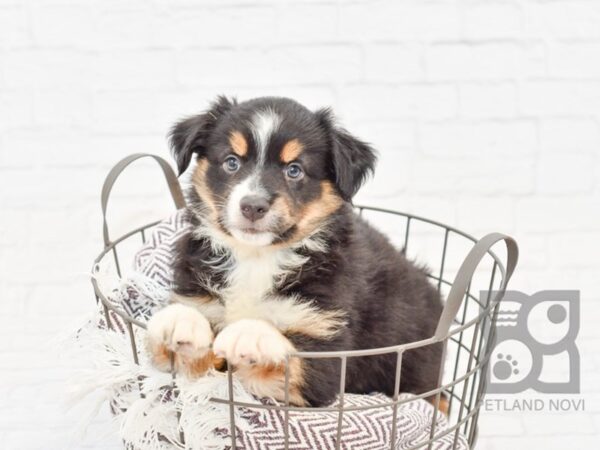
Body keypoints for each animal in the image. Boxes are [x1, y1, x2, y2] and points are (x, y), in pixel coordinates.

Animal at [146, 96, 446, 412]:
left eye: (294, 170)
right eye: (231, 162)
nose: (252, 206)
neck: (257, 258)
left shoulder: (326, 355)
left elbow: (287, 354)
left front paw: (250, 333)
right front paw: (179, 320)